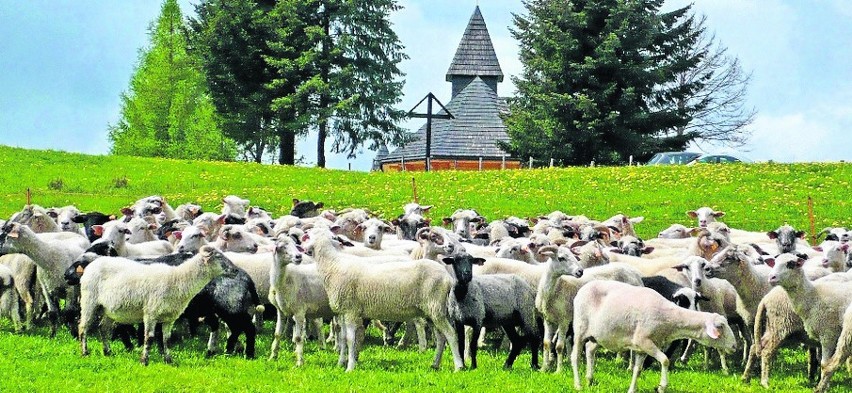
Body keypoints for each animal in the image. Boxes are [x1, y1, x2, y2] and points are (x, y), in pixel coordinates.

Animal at [76, 245, 228, 364]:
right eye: (219, 257)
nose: (232, 269)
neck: (177, 279)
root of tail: (94, 263)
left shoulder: (169, 318)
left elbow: (166, 339)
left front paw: (168, 360)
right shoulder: (150, 313)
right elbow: (149, 338)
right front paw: (145, 361)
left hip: (108, 309)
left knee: (103, 328)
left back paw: (107, 352)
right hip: (89, 301)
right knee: (83, 327)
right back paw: (85, 352)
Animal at [268, 233, 334, 364]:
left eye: (295, 245)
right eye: (282, 246)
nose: (298, 256)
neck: (286, 279)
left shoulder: (299, 311)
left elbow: (298, 337)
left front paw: (299, 362)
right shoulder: (280, 311)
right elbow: (277, 334)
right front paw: (273, 356)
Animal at [304, 227, 466, 370]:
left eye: (308, 236)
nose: (304, 249)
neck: (333, 265)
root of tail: (447, 277)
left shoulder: (351, 311)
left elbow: (351, 340)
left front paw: (349, 367)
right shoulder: (343, 312)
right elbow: (343, 339)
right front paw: (340, 364)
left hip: (436, 307)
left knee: (451, 334)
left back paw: (458, 366)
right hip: (432, 311)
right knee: (441, 337)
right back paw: (435, 364)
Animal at [568, 280, 736, 390]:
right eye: (720, 327)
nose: (734, 346)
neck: (669, 318)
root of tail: (582, 288)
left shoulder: (641, 349)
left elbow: (638, 370)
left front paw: (632, 389)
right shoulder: (644, 341)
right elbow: (665, 360)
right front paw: (662, 386)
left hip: (598, 335)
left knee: (590, 350)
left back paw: (589, 379)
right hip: (580, 329)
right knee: (575, 356)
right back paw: (578, 385)